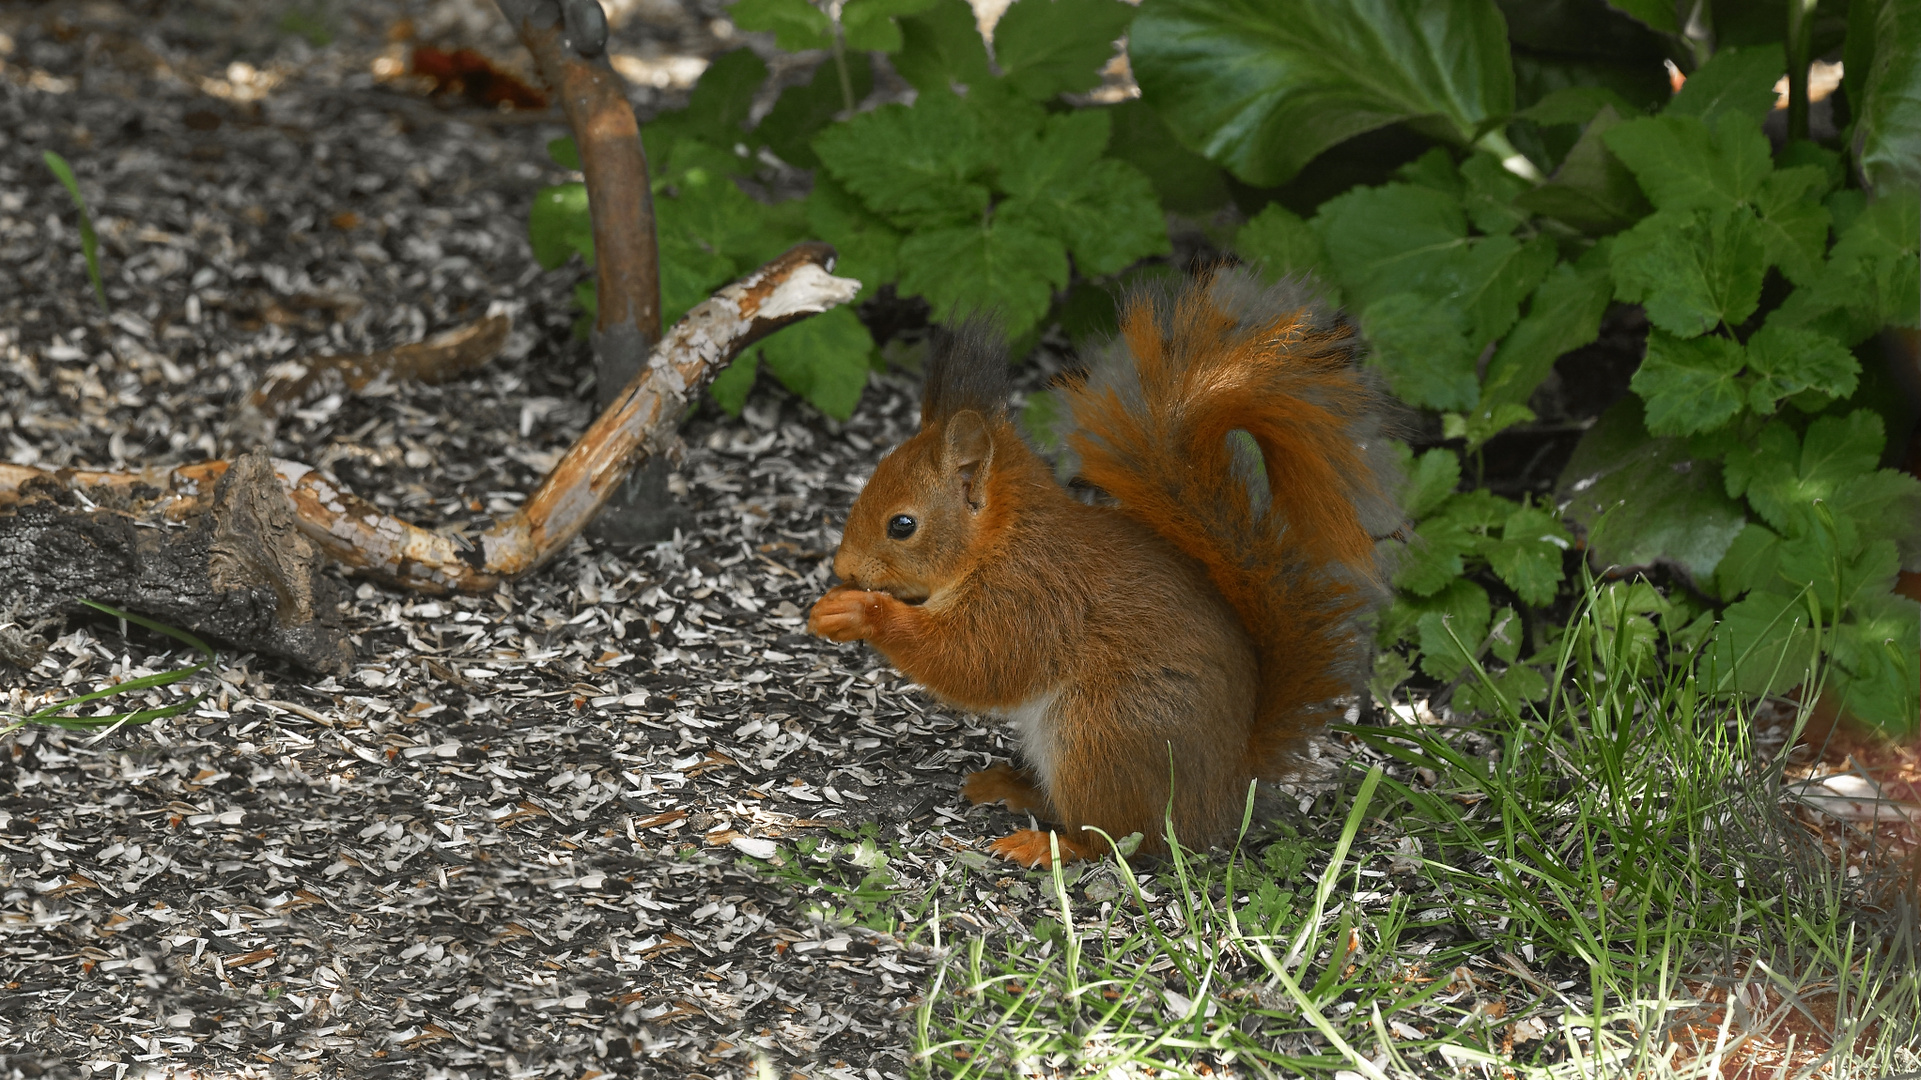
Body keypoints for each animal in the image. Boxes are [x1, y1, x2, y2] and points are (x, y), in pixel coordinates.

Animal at [806, 270, 1398, 864]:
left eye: (902, 525)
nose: (842, 566)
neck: (1002, 541)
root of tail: (1223, 793)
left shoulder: (1032, 598)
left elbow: (975, 662)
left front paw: (860, 612)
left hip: (1101, 733)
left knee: (1114, 839)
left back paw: (1044, 845)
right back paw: (1009, 786)